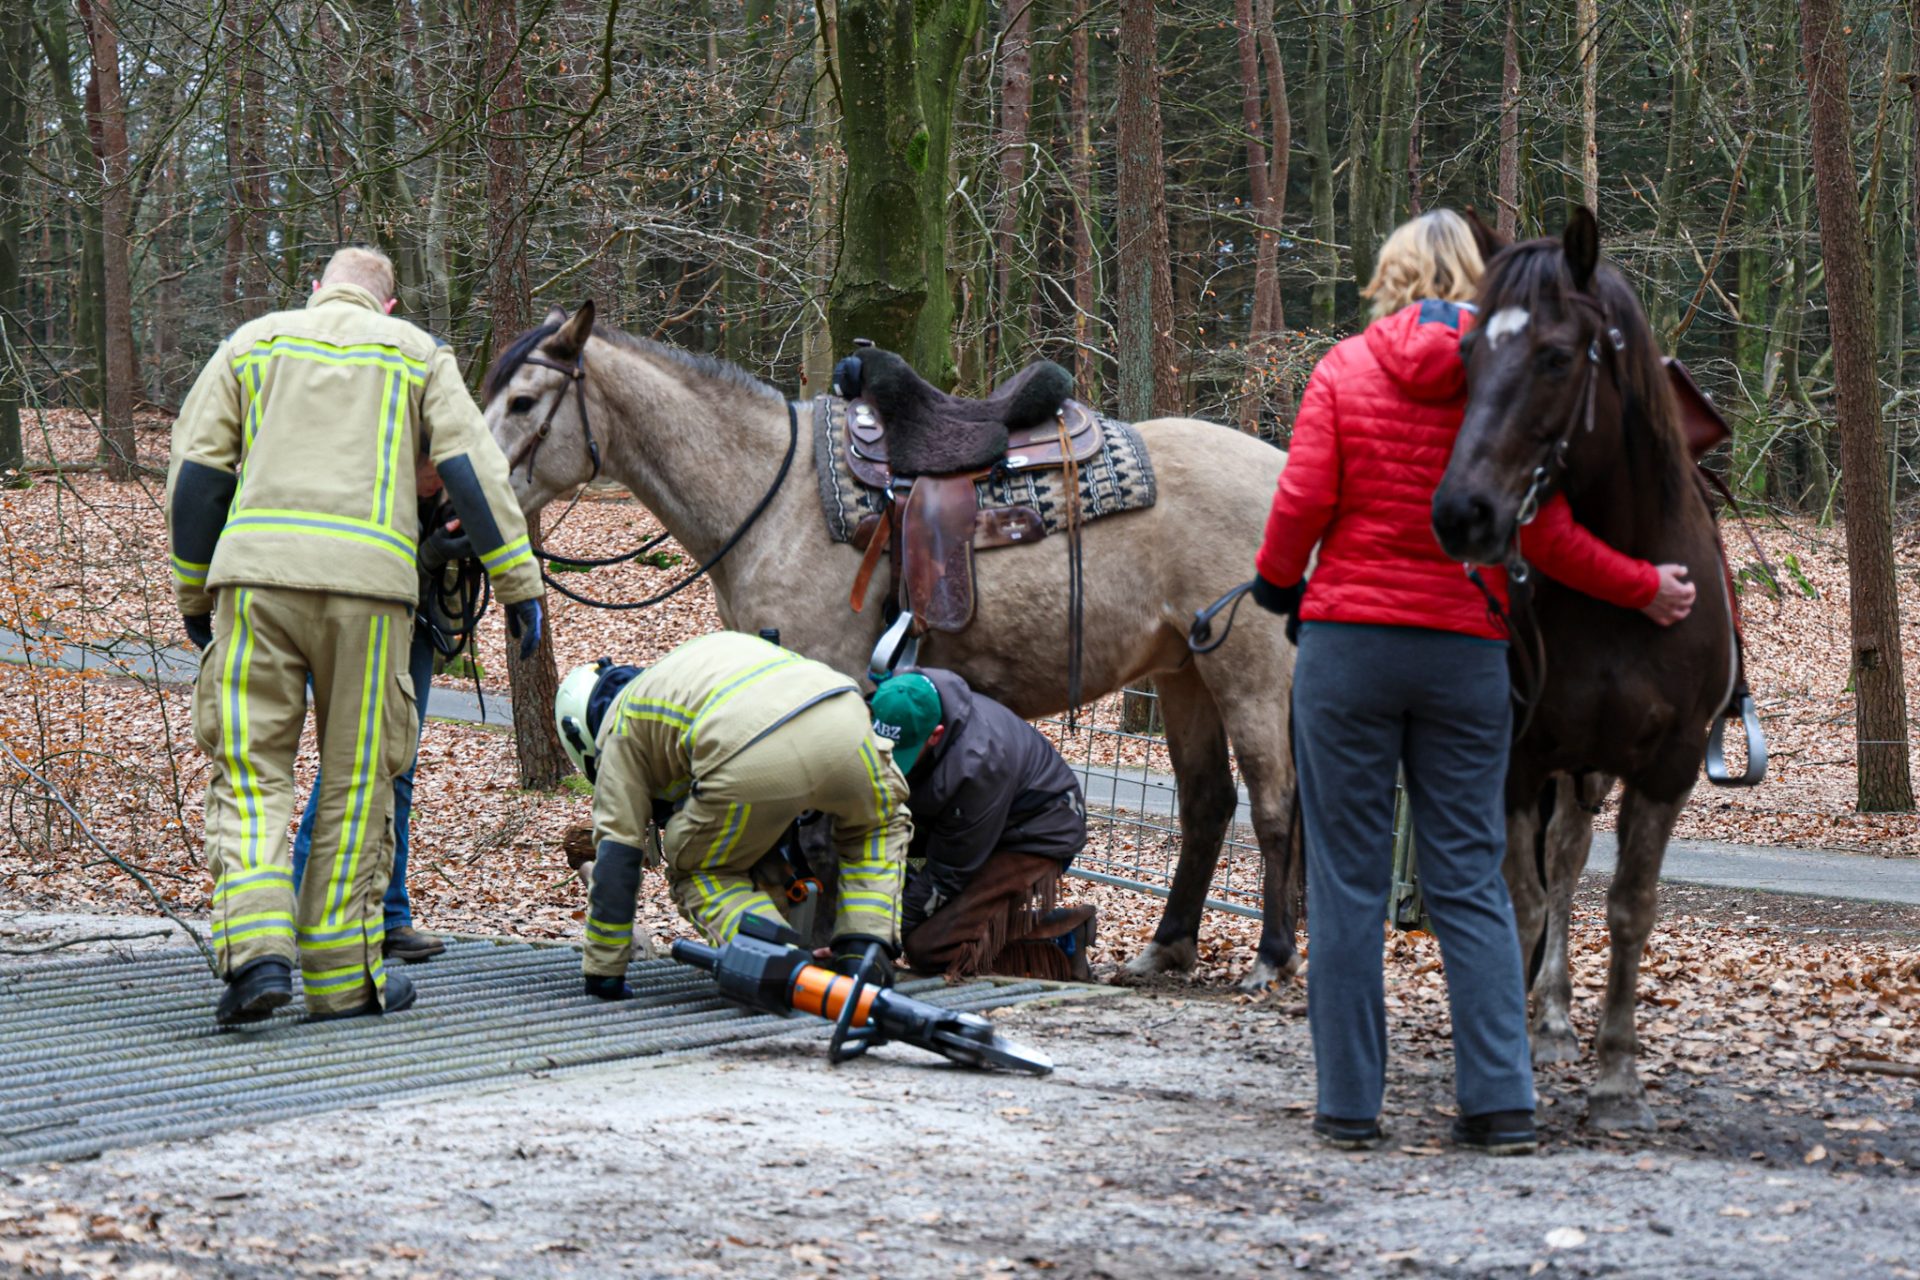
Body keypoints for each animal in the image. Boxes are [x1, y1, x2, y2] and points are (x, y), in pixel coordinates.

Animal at [481, 302, 1303, 990]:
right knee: (1207, 804)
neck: (770, 495)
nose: (465, 503)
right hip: (1184, 672)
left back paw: (1272, 959)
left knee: (1272, 806)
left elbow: (821, 829)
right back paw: (1166, 949)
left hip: (1250, 670)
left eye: (523, 401)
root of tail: (1281, 469)